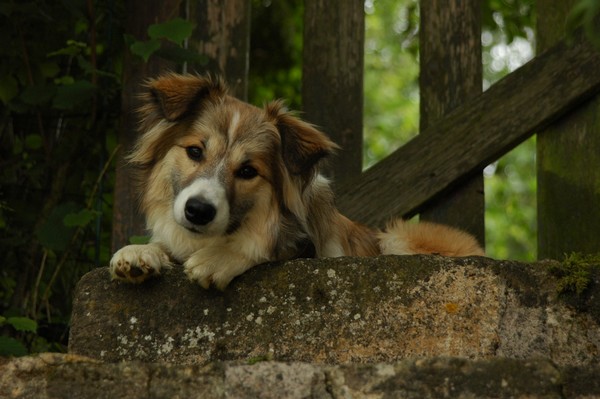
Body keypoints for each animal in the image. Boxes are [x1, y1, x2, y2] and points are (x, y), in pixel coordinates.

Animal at [108, 72, 482, 290]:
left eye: (248, 171)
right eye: (195, 151)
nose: (198, 211)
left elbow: (270, 248)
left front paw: (219, 258)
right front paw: (141, 251)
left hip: (399, 236)